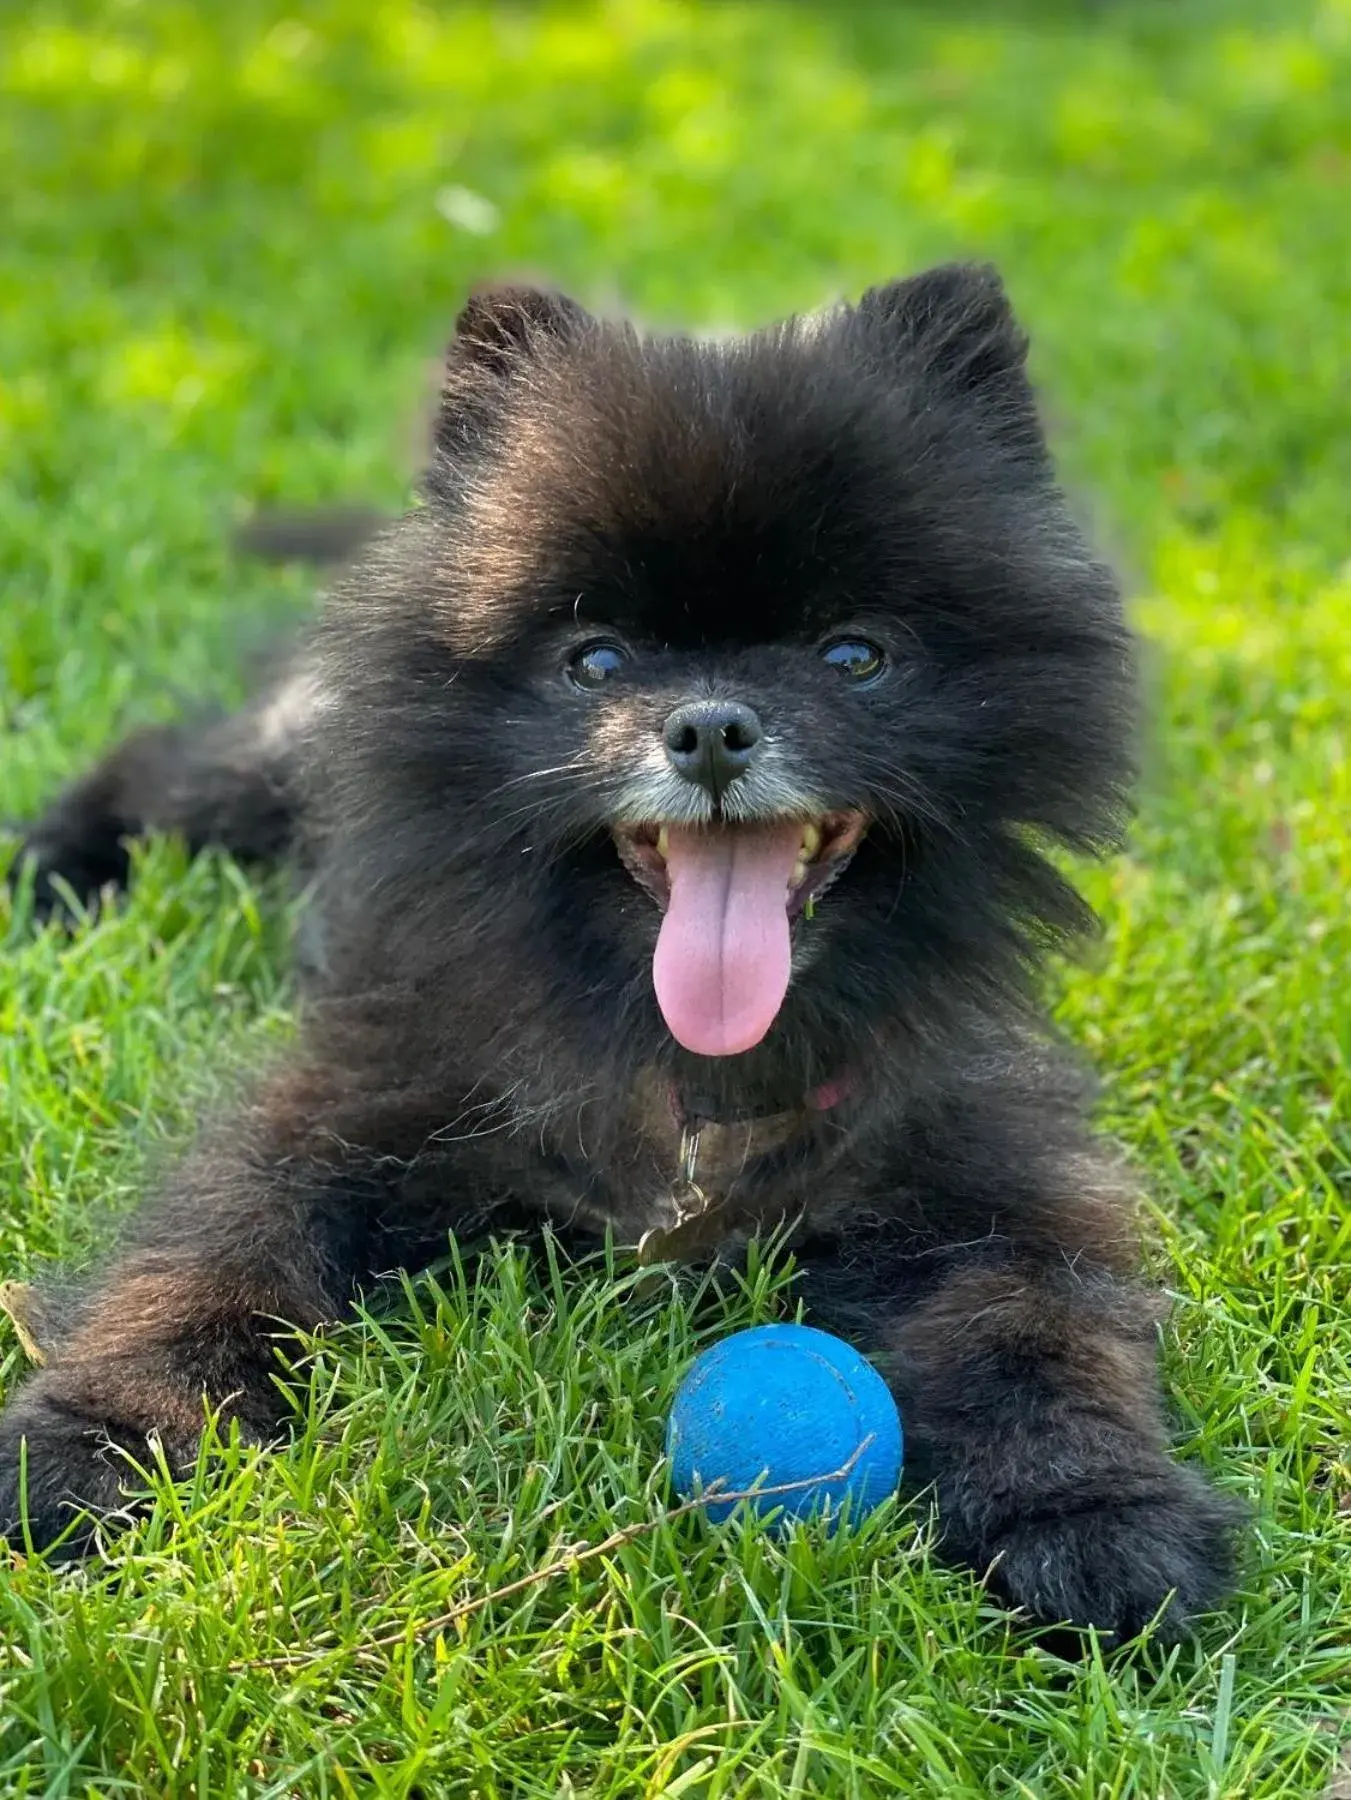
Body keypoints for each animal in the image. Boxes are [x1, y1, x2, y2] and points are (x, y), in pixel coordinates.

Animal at [0, 273, 1244, 1641]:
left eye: (853, 656)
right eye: (594, 660)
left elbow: (1036, 1325)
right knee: (168, 768)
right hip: (273, 772)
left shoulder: (985, 1167)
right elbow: (210, 1263)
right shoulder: (341, 1100)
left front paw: (1090, 1512)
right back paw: (54, 864)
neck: (686, 1086)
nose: (708, 727)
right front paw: (93, 1440)